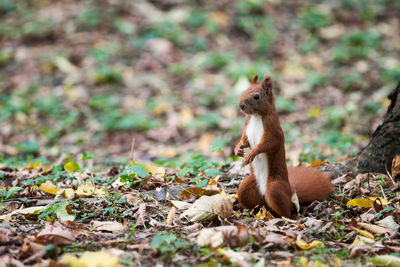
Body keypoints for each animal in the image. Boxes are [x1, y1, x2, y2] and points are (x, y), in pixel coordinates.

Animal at [234, 74, 334, 219]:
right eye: (244, 91)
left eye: (256, 96)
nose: (241, 105)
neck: (256, 116)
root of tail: (290, 193)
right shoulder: (247, 126)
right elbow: (245, 140)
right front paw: (238, 149)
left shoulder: (274, 130)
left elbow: (270, 143)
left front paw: (252, 153)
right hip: (247, 188)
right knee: (252, 198)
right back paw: (252, 210)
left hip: (275, 189)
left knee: (286, 210)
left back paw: (286, 218)